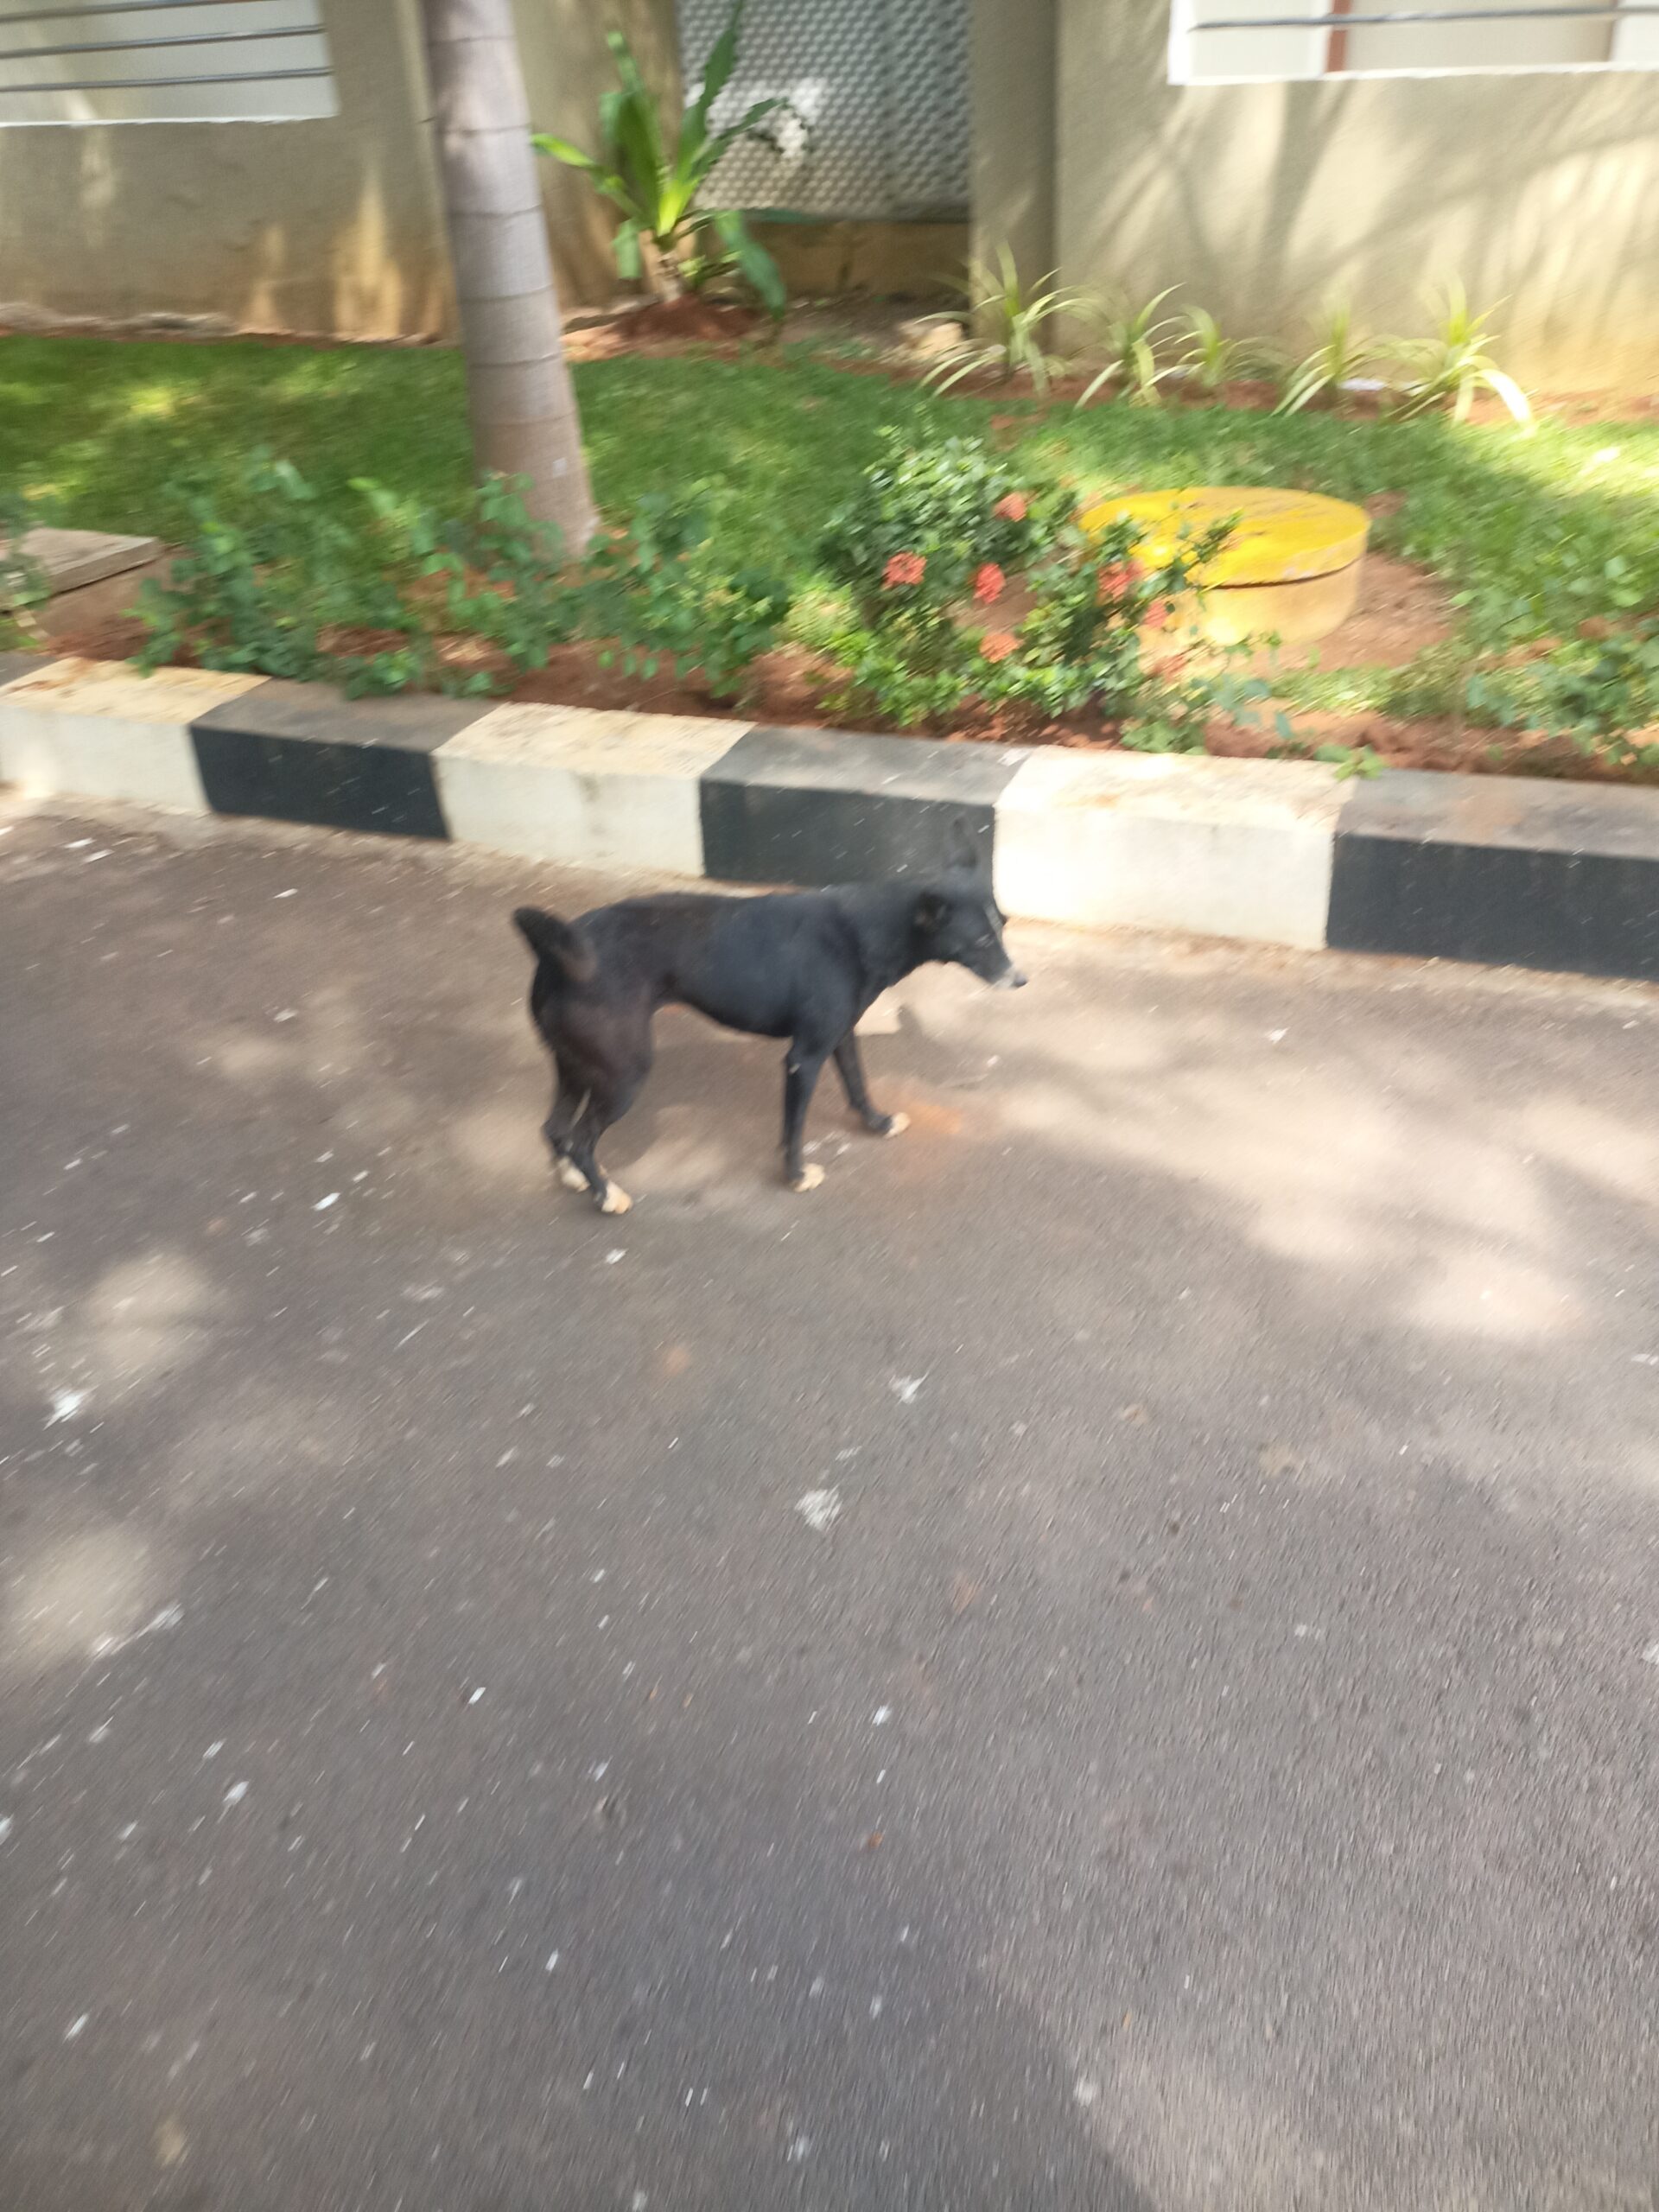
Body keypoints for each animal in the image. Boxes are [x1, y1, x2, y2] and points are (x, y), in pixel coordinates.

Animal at [512, 871, 1026, 1212]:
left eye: (1002, 926)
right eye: (981, 940)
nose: (1021, 980)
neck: (867, 928)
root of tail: (558, 953)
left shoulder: (839, 1037)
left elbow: (858, 1085)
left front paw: (878, 1124)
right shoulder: (804, 1058)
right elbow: (794, 1128)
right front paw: (796, 1177)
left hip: (578, 1065)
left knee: (555, 1129)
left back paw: (574, 1175)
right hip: (623, 1074)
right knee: (581, 1138)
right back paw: (606, 1193)